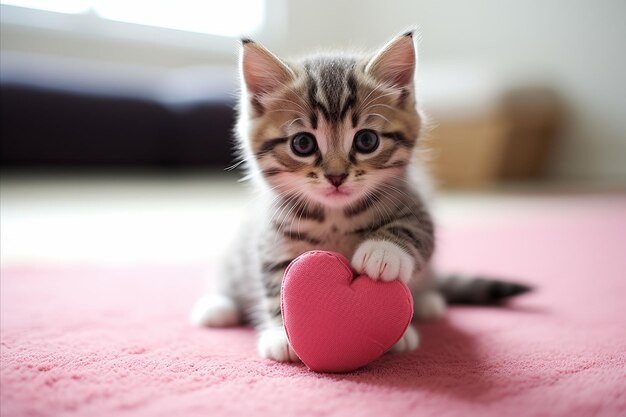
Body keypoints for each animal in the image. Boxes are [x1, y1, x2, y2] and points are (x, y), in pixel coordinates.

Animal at [189, 30, 528, 360]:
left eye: (366, 140)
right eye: (302, 144)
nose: (336, 176)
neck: (334, 216)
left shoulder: (415, 202)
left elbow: (414, 230)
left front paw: (383, 252)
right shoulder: (274, 235)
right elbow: (275, 279)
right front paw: (279, 333)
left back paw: (428, 301)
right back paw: (216, 306)